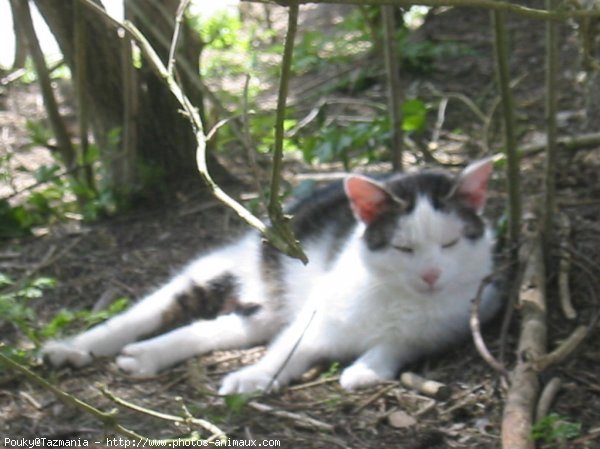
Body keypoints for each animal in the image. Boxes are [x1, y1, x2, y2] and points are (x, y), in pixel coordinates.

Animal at [43, 159, 502, 394]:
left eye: (450, 243)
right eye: (403, 247)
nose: (431, 275)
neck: (398, 295)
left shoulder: (462, 317)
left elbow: (398, 344)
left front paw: (366, 369)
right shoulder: (318, 314)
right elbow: (290, 348)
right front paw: (255, 376)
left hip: (261, 312)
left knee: (213, 329)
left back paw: (145, 355)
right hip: (225, 267)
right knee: (146, 312)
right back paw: (73, 347)